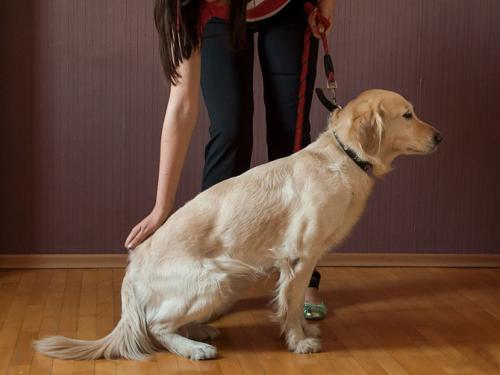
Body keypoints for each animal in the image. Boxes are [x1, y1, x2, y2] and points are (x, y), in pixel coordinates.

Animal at [34, 89, 442, 362]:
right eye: (407, 115)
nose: (440, 136)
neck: (343, 159)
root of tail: (132, 269)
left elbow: (296, 304)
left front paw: (305, 329)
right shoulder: (299, 256)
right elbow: (291, 304)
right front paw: (299, 341)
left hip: (229, 279)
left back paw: (200, 329)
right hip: (215, 279)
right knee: (156, 325)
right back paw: (195, 348)